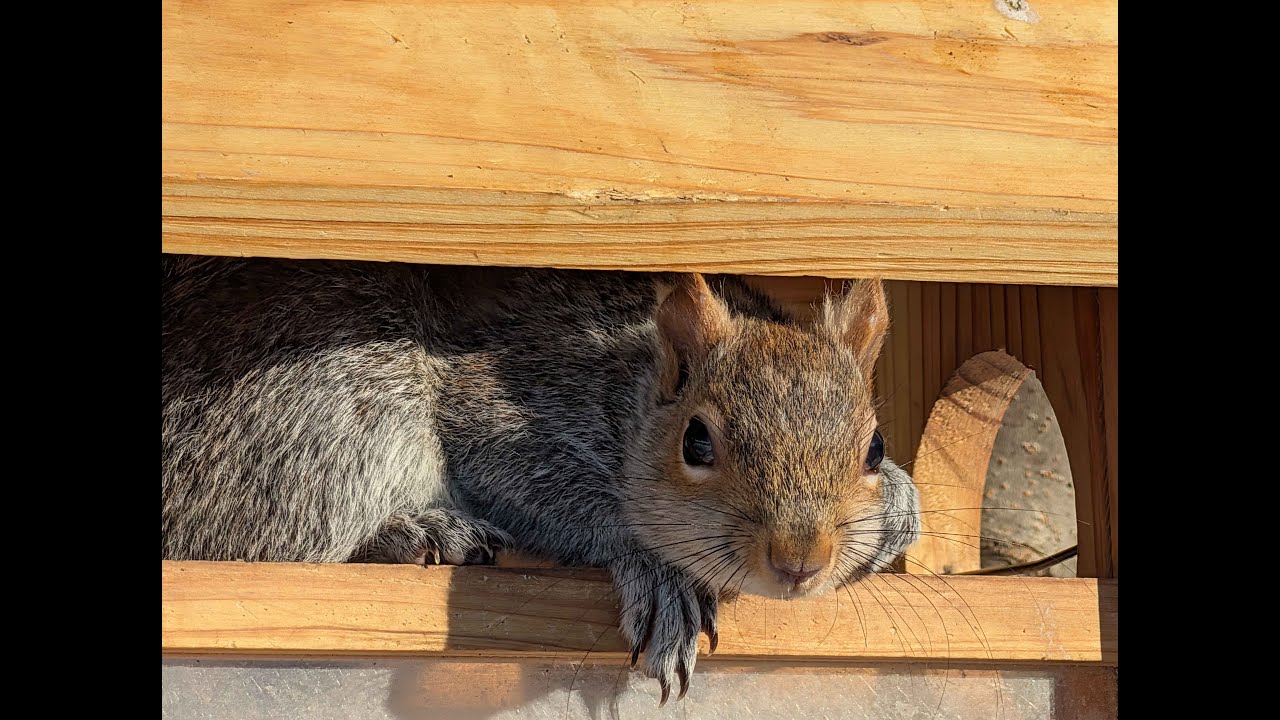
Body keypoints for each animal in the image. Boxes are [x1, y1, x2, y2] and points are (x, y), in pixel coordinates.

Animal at [161, 255, 921, 704]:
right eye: (697, 440)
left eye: (875, 446)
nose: (800, 561)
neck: (632, 380)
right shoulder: (509, 399)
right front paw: (659, 572)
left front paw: (900, 508)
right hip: (328, 412)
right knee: (267, 543)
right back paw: (416, 531)